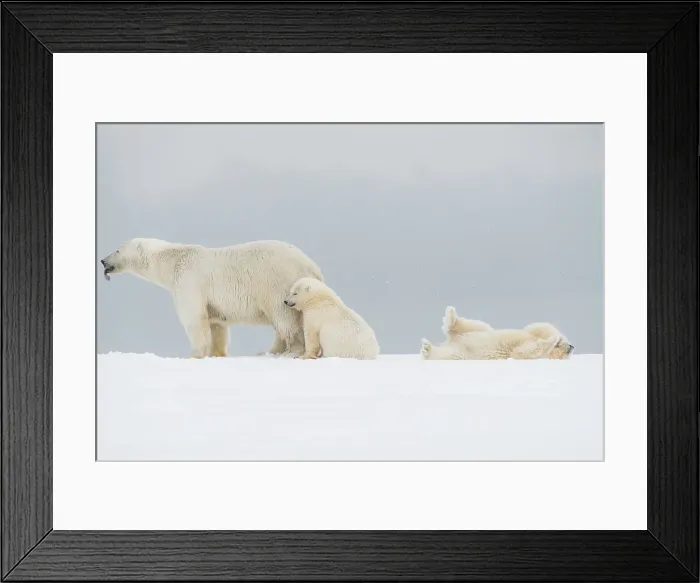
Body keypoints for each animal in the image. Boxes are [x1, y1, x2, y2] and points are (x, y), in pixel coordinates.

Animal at [100, 238, 323, 358]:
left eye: (117, 249)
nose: (102, 260)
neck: (173, 260)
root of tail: (313, 267)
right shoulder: (213, 302)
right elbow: (216, 324)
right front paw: (217, 353)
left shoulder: (188, 280)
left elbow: (194, 318)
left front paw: (194, 355)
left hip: (278, 284)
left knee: (285, 318)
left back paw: (289, 350)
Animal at [420, 306, 573, 361]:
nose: (571, 347)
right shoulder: (531, 333)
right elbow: (539, 327)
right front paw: (556, 338)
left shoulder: (529, 355)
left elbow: (524, 351)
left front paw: (552, 341)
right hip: (482, 331)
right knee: (473, 326)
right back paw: (450, 314)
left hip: (462, 353)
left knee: (447, 354)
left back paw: (427, 349)